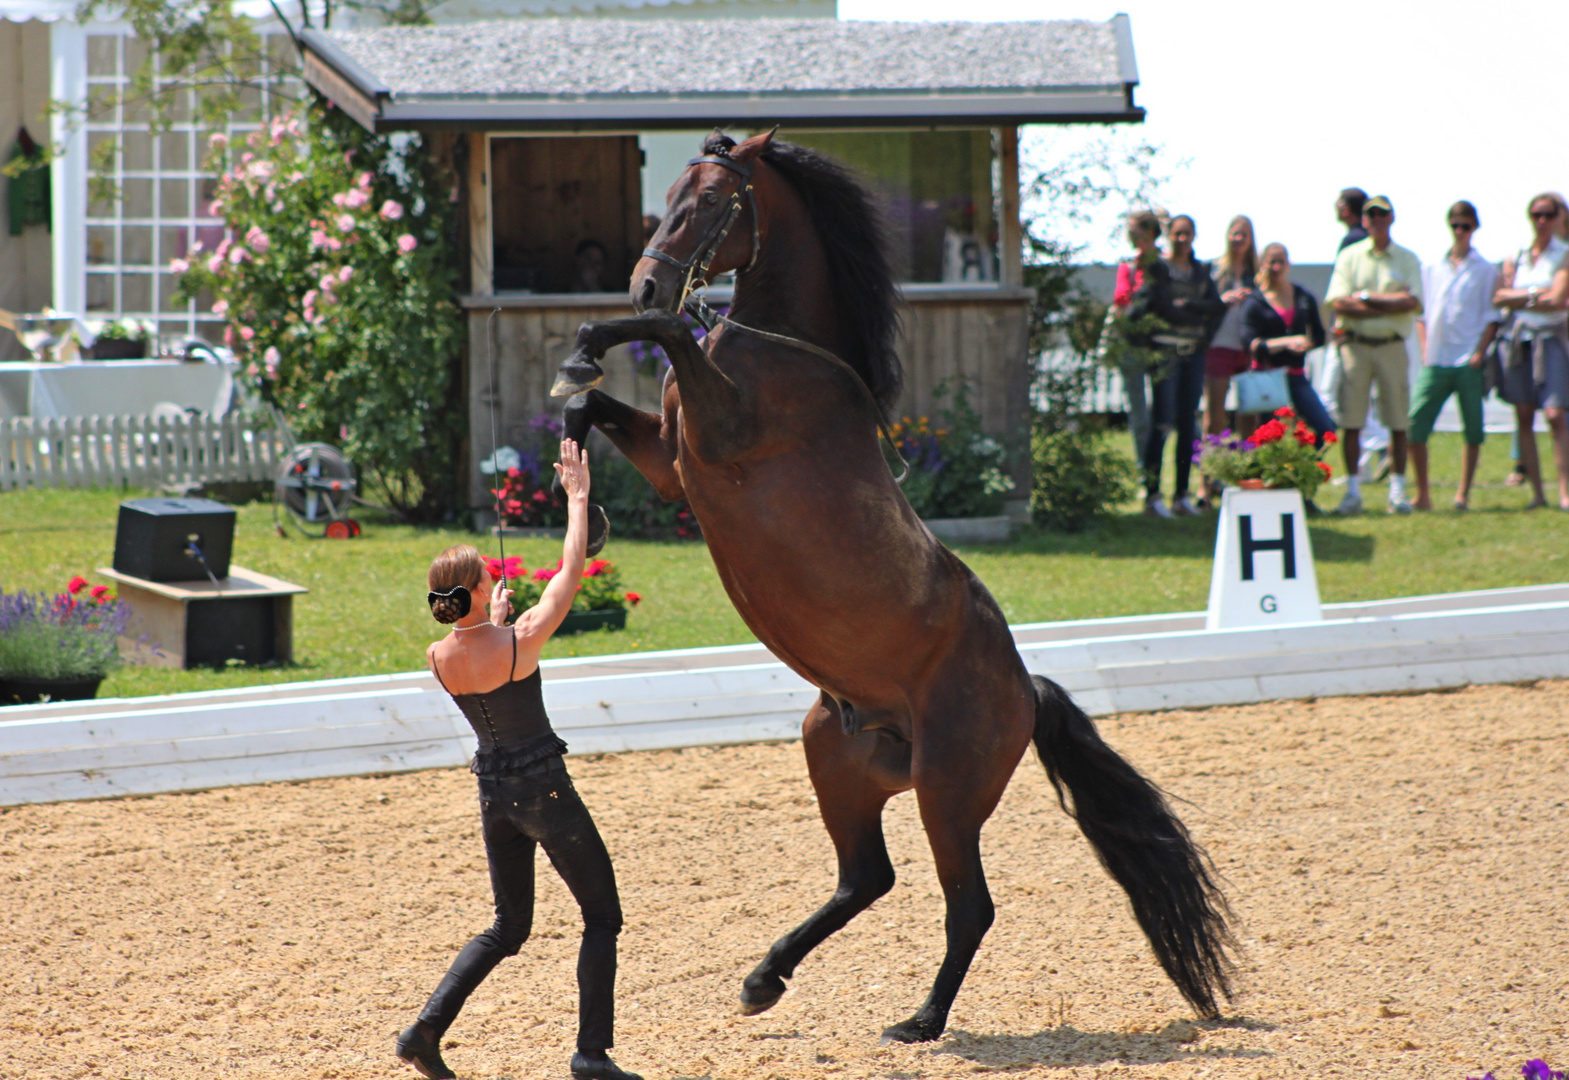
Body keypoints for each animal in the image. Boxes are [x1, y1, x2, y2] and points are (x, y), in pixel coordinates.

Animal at [552, 131, 1236, 1042]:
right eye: (666, 195)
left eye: (714, 202)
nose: (646, 282)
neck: (778, 348)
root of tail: (1025, 688)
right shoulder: (673, 461)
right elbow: (592, 412)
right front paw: (583, 500)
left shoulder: (718, 431)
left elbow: (662, 338)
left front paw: (587, 349)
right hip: (836, 758)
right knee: (864, 878)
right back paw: (764, 978)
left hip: (947, 794)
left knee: (966, 905)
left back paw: (919, 1019)